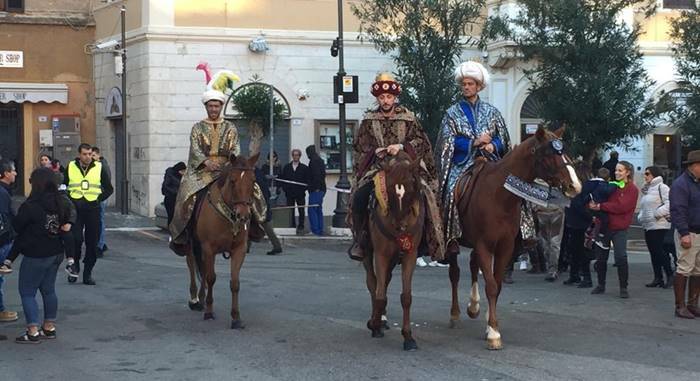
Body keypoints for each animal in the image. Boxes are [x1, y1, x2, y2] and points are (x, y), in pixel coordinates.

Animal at [186, 153, 260, 328]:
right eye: (232, 181)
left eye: (253, 180)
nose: (243, 215)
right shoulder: (209, 248)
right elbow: (211, 278)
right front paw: (209, 312)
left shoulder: (239, 249)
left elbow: (235, 283)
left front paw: (236, 318)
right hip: (190, 242)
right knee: (192, 265)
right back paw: (195, 299)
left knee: (201, 268)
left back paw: (201, 298)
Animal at [364, 151, 424, 350]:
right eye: (389, 190)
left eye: (411, 190)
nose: (401, 226)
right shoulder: (380, 254)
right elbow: (380, 294)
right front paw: (374, 324)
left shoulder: (410, 255)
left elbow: (406, 297)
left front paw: (408, 337)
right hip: (367, 252)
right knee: (373, 283)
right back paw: (377, 320)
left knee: (385, 281)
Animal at [448, 126, 580, 348]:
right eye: (550, 154)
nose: (575, 186)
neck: (499, 197)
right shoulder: (484, 245)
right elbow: (491, 286)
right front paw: (493, 334)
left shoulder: (505, 246)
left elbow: (497, 284)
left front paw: (490, 322)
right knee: (455, 273)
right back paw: (455, 314)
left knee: (473, 264)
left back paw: (474, 307)